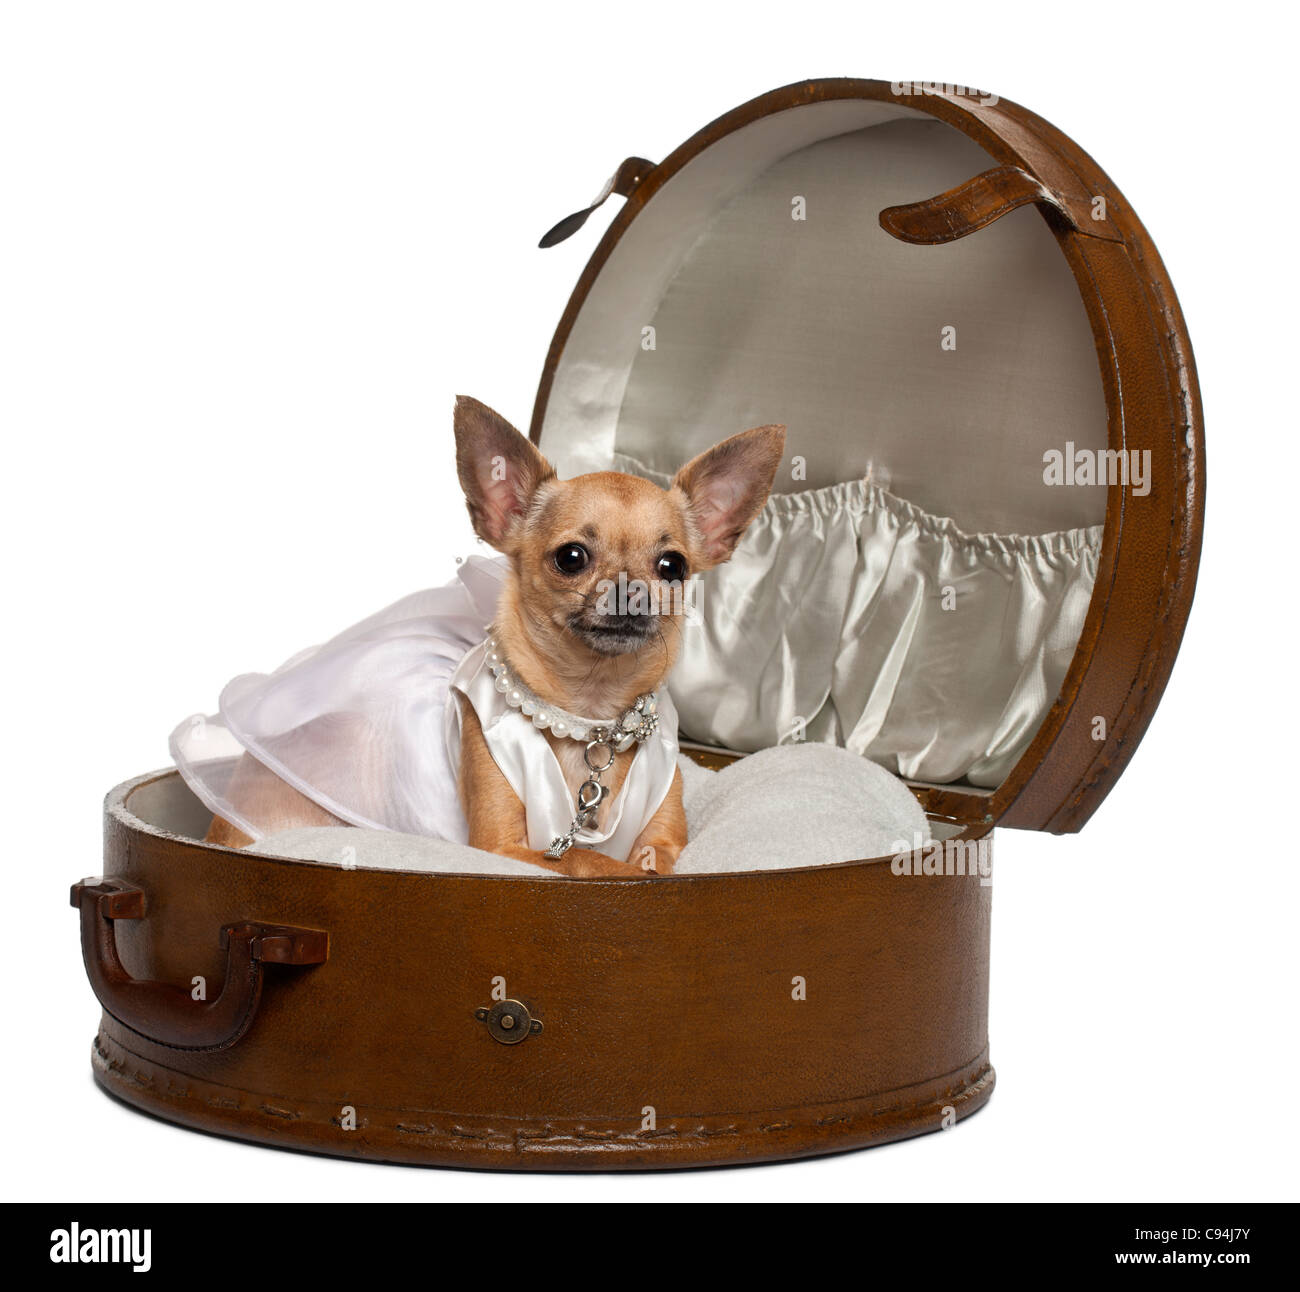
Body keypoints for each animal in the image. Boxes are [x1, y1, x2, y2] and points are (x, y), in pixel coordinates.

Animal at [205, 395, 780, 878]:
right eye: (571, 557)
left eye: (673, 566)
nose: (630, 591)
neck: (589, 722)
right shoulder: (507, 849)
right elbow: (595, 864)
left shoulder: (666, 840)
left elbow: (659, 864)